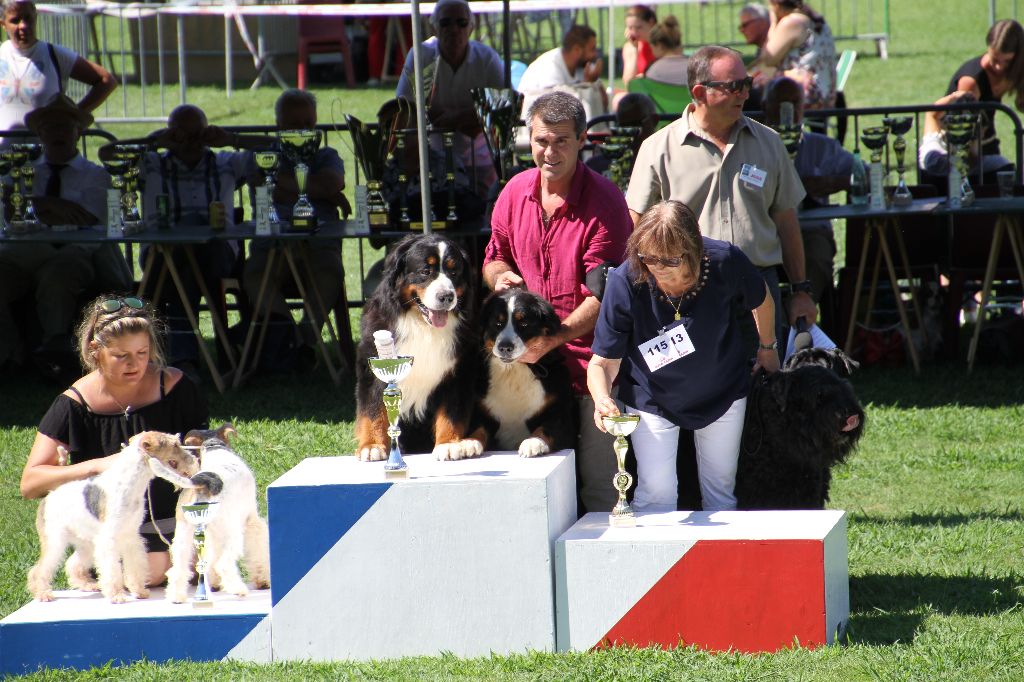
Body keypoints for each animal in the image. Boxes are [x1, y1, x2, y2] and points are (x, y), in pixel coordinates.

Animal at [356, 233, 483, 462]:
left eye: (454, 272)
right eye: (425, 271)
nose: (446, 296)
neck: (423, 327)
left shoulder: (459, 372)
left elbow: (451, 412)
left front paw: (449, 444)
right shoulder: (370, 368)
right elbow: (372, 410)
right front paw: (371, 445)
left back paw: (470, 443)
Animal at [471, 288, 577, 454]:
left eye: (524, 324)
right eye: (498, 323)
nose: (505, 347)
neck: (513, 371)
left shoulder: (560, 413)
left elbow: (547, 427)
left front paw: (534, 442)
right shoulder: (482, 410)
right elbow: (478, 429)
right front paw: (465, 444)